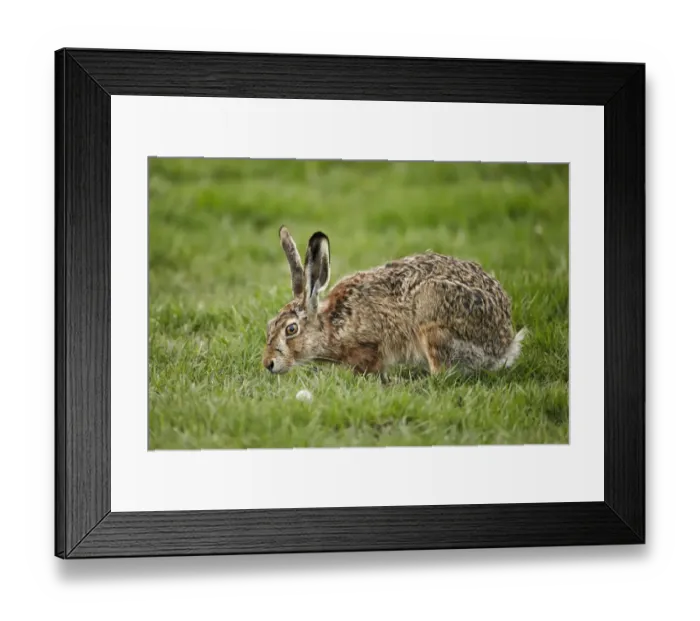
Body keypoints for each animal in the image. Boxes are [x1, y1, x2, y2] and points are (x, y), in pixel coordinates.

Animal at [262, 226, 527, 377]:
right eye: (269, 325)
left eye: (291, 329)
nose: (268, 364)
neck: (332, 324)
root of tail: (504, 344)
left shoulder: (370, 346)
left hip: (434, 321)